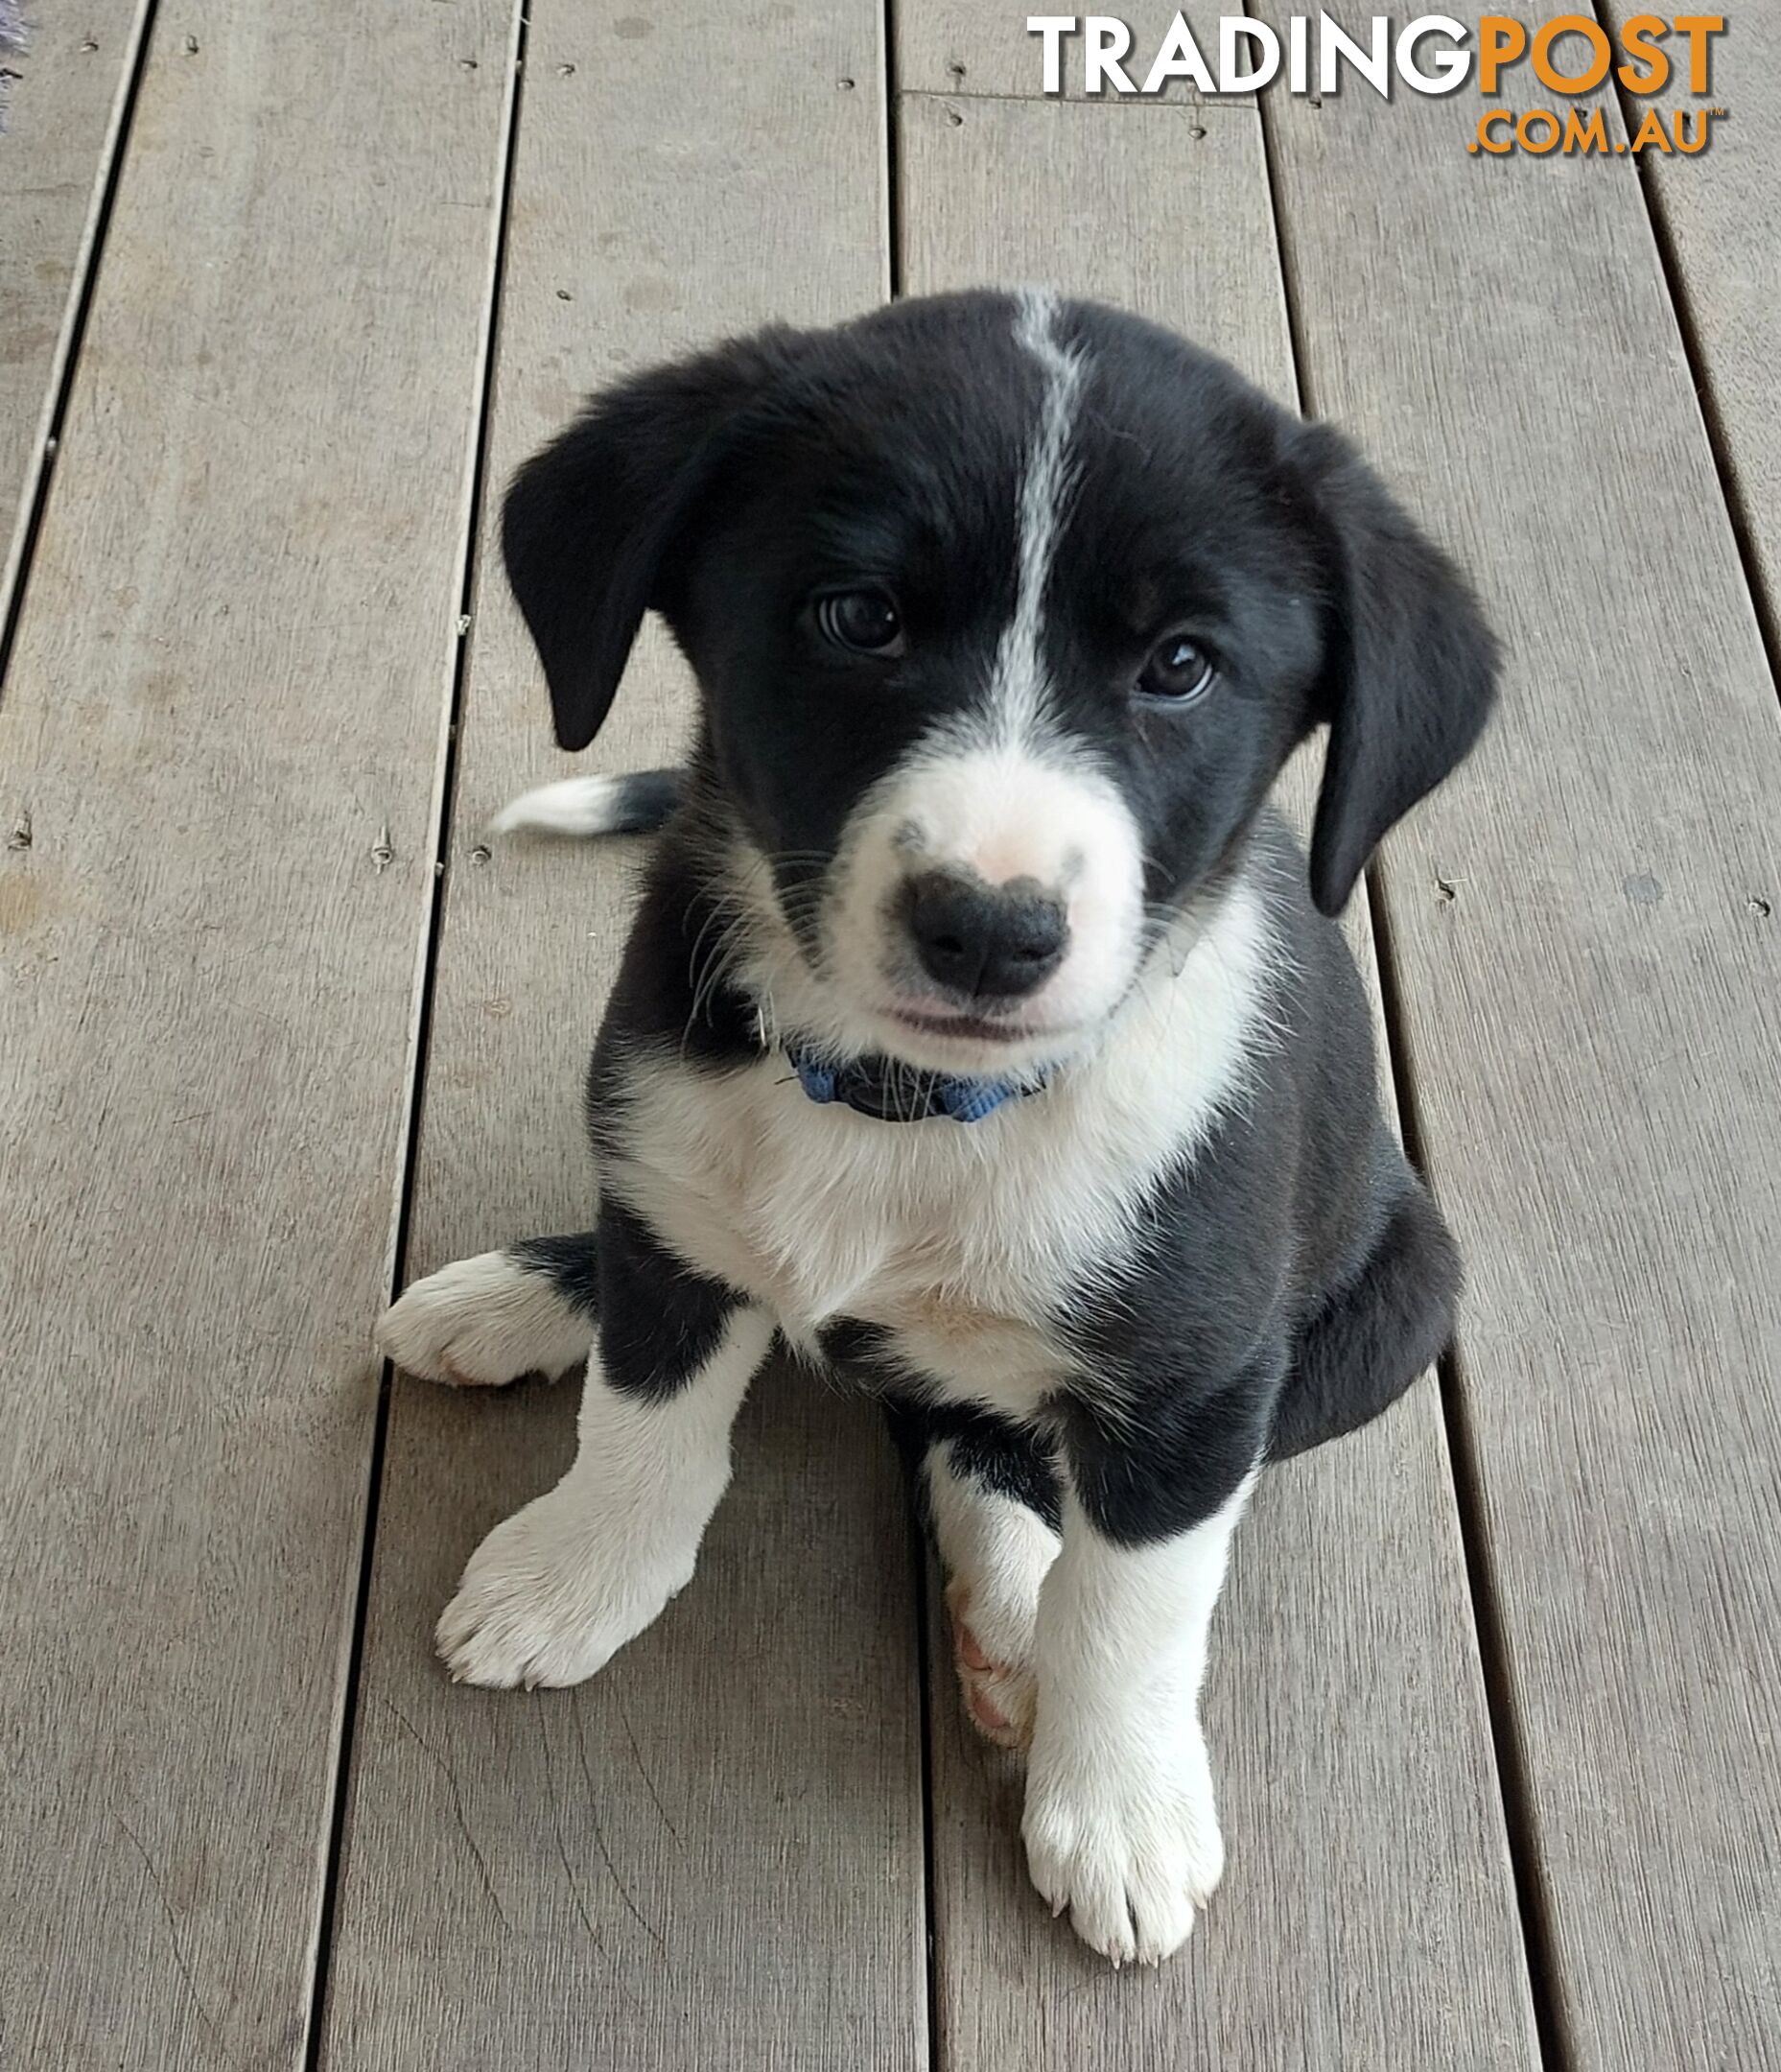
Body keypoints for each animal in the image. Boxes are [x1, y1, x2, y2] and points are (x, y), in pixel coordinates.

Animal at [383, 288, 1499, 1956]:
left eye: (1181, 666)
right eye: (860, 618)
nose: (990, 928)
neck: (910, 1107)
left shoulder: (1196, 1386)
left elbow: (1136, 1604)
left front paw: (1119, 1809)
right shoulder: (666, 1150)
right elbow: (648, 1416)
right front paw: (580, 1576)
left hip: (1401, 1297)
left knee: (995, 1444)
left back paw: (1009, 1605)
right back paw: (519, 1296)